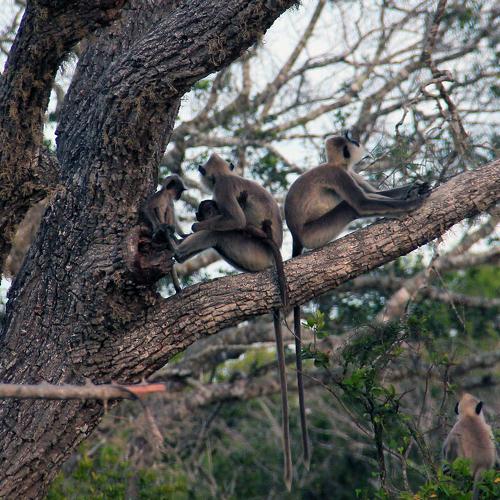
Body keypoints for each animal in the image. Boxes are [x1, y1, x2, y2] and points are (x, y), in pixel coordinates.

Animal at [172, 153, 293, 489]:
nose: (200, 213)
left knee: (221, 233)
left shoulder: (223, 190)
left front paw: (194, 225)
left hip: (253, 252)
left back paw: (177, 253)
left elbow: (234, 221)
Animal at [284, 131, 431, 468]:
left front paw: (416, 187)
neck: (337, 165)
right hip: (317, 232)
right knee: (349, 208)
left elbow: (378, 192)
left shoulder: (353, 174)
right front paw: (415, 200)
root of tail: (296, 235)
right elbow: (363, 202)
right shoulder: (341, 176)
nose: (358, 139)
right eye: (350, 139)